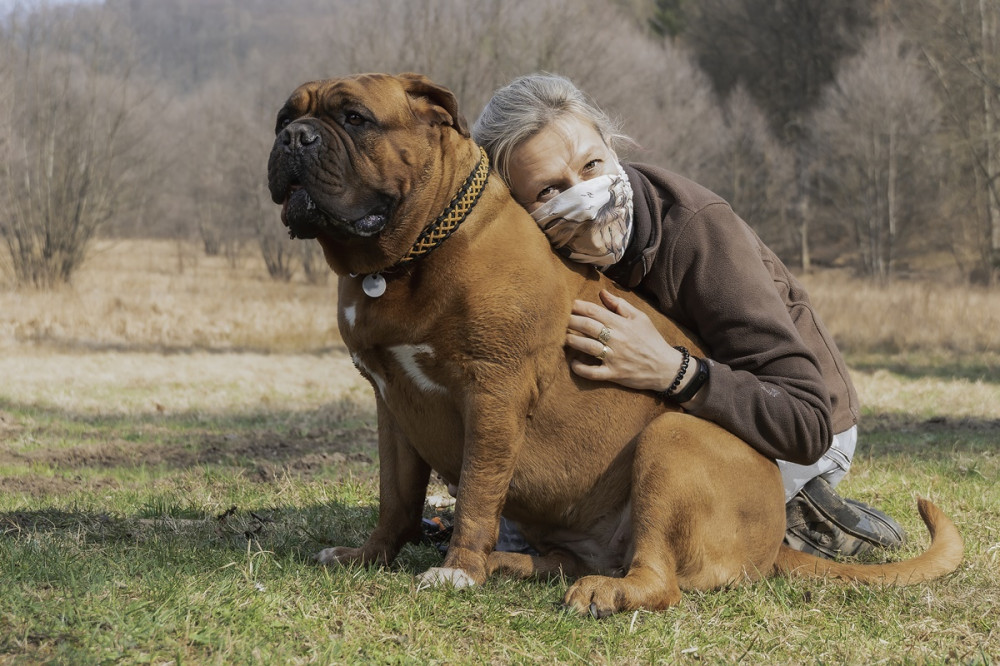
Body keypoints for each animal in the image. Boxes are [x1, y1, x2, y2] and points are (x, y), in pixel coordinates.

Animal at [266, 74, 960, 616]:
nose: (293, 137)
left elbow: (477, 492)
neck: (405, 259)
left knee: (659, 580)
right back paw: (516, 566)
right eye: (285, 115)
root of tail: (771, 545)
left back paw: (594, 589)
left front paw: (457, 568)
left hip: (671, 442)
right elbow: (397, 497)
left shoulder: (492, 392)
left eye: (354, 118)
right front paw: (370, 555)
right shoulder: (391, 401)